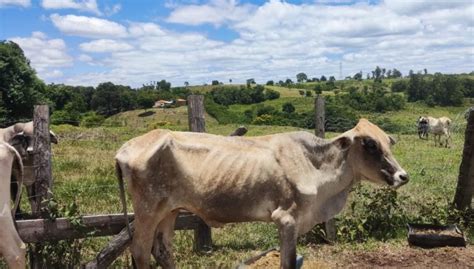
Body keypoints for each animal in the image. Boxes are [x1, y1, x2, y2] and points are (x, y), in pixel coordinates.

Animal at [115, 119, 408, 268]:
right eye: (370, 144)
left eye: (387, 141)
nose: (402, 176)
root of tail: (127, 147)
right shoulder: (287, 219)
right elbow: (287, 262)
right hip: (147, 210)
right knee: (140, 251)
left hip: (170, 210)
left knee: (163, 250)